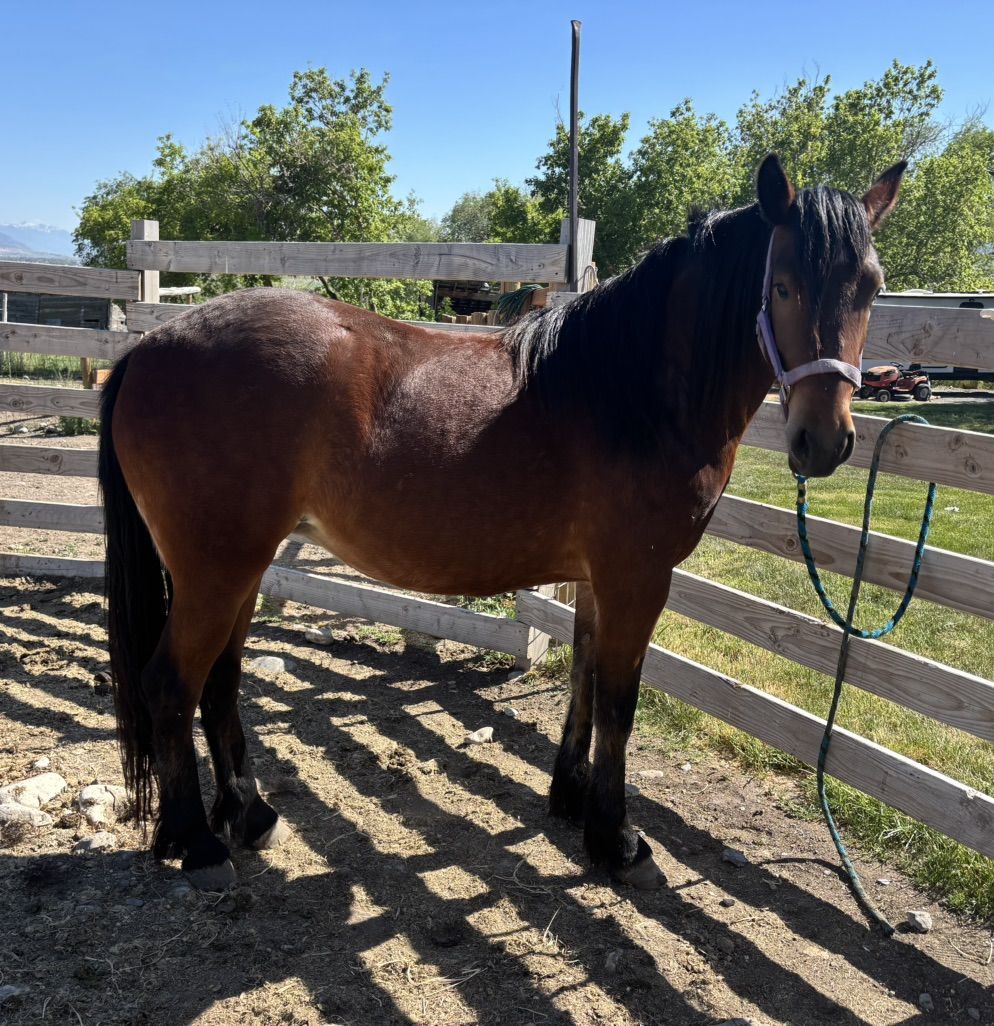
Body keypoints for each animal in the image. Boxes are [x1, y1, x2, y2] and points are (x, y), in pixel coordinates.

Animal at [98, 154, 905, 891]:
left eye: (872, 286)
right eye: (783, 284)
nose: (824, 441)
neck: (631, 391)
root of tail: (147, 348)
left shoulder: (598, 579)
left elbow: (584, 674)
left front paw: (571, 799)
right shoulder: (638, 577)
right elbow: (619, 699)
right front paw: (617, 841)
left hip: (241, 566)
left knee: (220, 680)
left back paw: (248, 814)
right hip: (216, 568)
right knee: (171, 683)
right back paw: (197, 842)